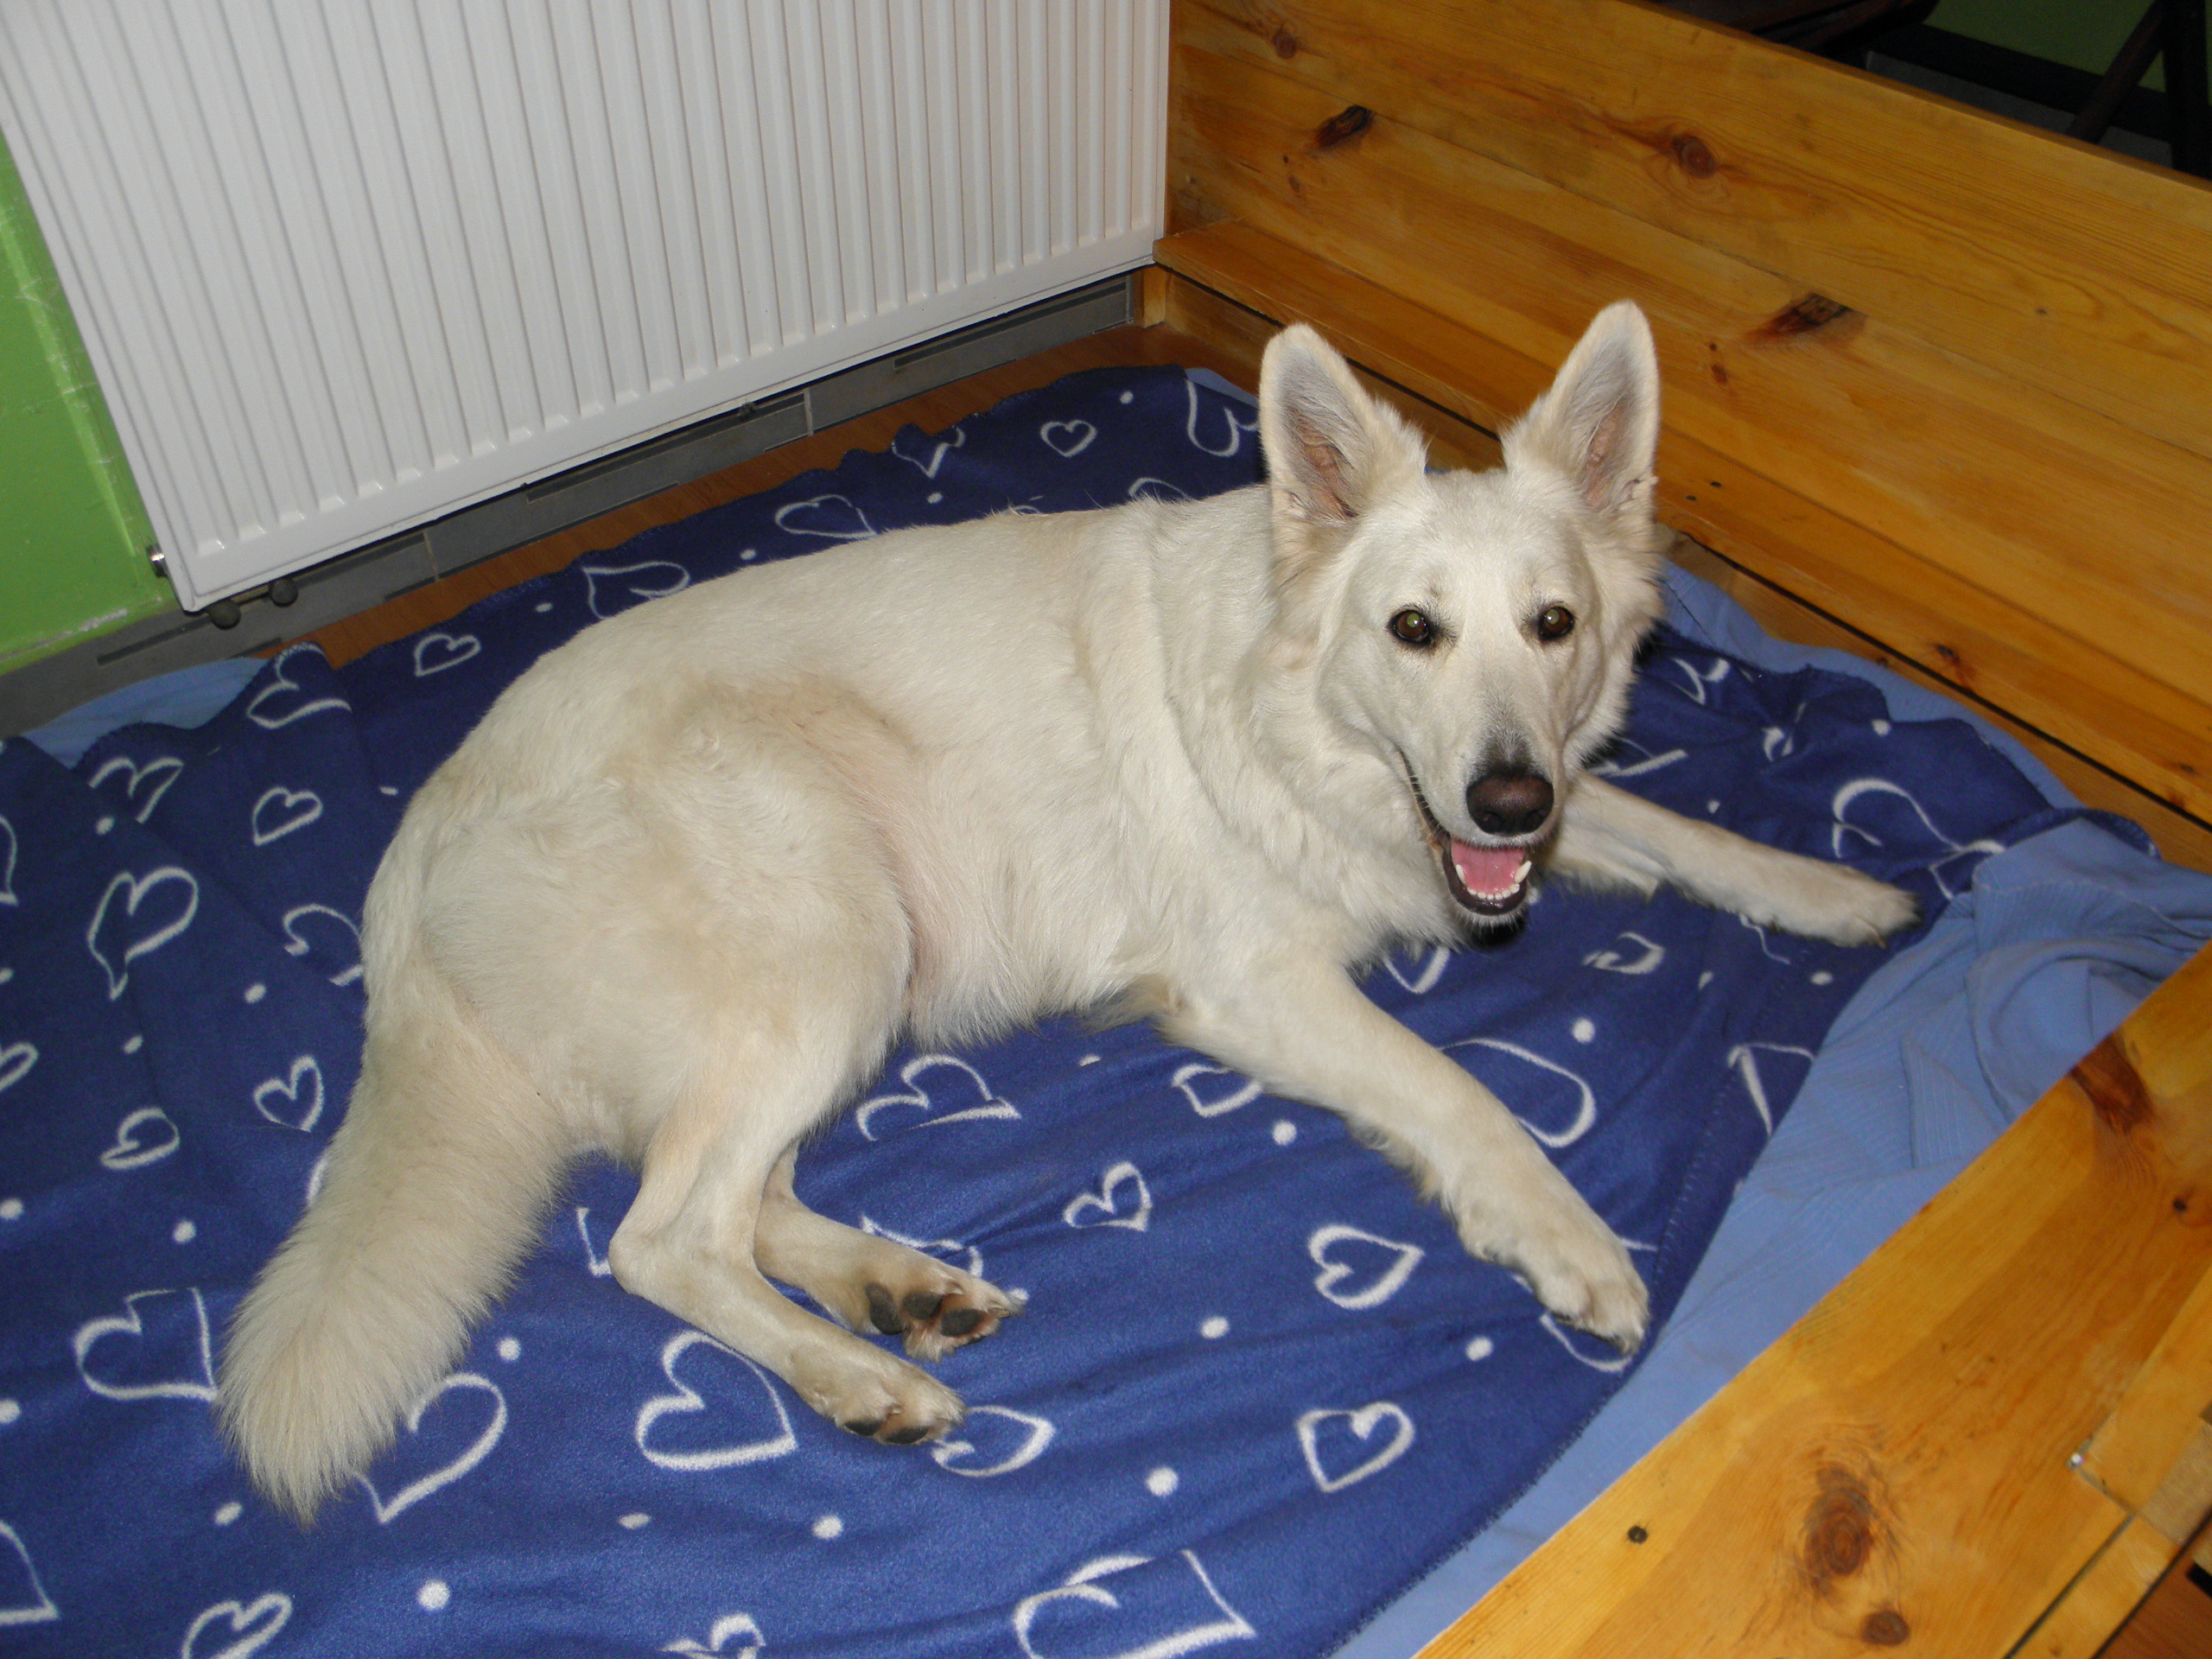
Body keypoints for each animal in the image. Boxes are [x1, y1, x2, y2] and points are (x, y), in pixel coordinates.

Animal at [219, 303, 1915, 1519]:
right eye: (1413, 630)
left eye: (1554, 626)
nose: (1504, 805)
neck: (1294, 717)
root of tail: (411, 857)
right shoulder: (1258, 984)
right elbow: (1464, 1093)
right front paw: (1571, 1240)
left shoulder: (1509, 803)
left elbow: (1665, 822)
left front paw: (1830, 886)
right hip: (834, 922)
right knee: (658, 1240)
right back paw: (857, 1377)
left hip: (837, 985)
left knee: (734, 1202)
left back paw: (895, 1293)